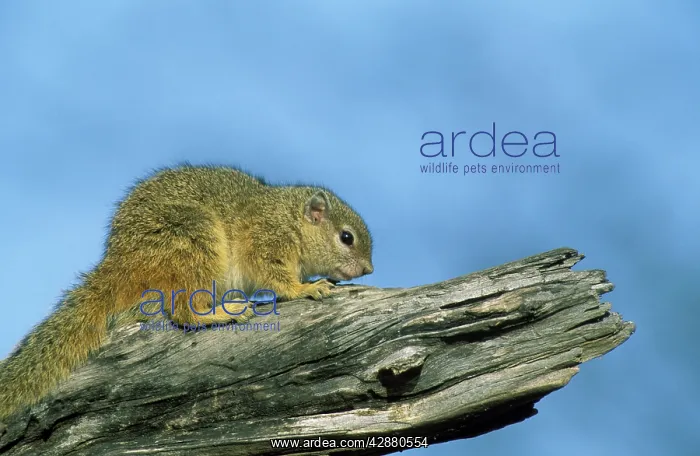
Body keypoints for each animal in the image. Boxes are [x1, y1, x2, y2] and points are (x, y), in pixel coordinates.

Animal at [0, 164, 374, 421]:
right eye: (346, 237)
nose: (369, 269)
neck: (289, 220)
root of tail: (121, 264)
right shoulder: (266, 242)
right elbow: (278, 280)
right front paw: (307, 288)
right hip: (193, 241)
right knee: (183, 312)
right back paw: (220, 312)